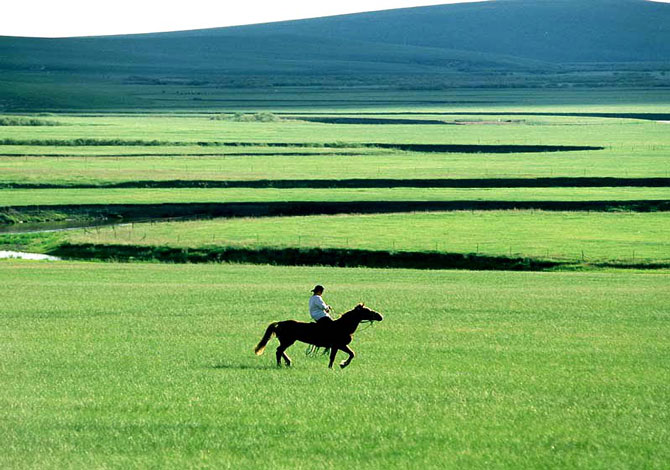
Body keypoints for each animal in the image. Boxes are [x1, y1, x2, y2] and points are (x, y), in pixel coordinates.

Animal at [256, 302, 386, 370]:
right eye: (367, 310)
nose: (380, 316)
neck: (343, 326)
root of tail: (280, 323)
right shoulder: (337, 346)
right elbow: (335, 357)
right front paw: (337, 366)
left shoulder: (341, 346)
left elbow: (352, 353)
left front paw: (342, 365)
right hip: (288, 341)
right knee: (279, 351)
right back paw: (280, 364)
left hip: (287, 341)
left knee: (280, 351)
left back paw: (288, 362)